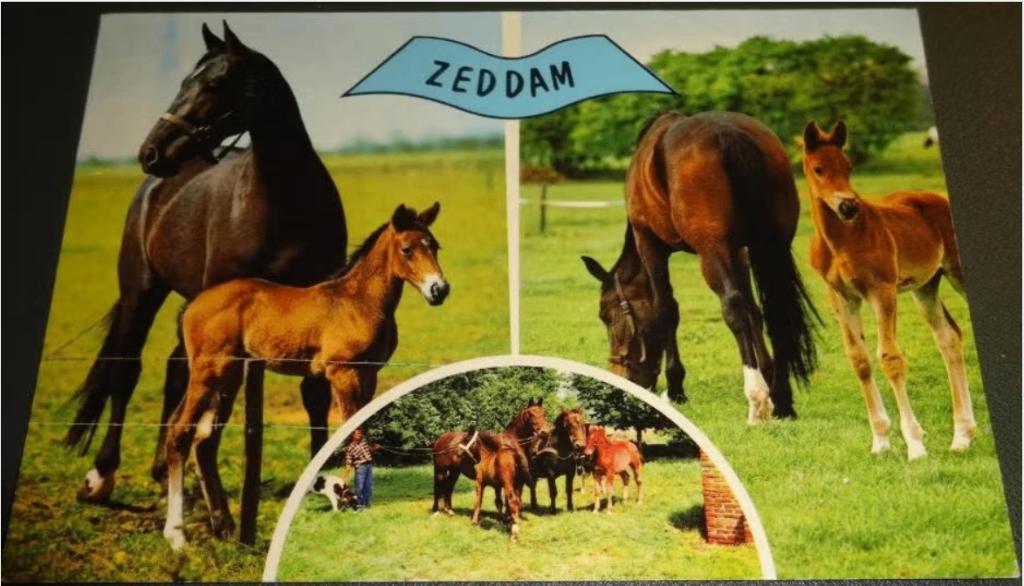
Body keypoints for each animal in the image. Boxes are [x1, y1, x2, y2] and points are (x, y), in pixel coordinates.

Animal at [63, 23, 348, 503]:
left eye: (214, 83)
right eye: (183, 81)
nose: (150, 152)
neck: (284, 203)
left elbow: (313, 391)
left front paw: (320, 473)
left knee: (177, 369)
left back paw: (164, 469)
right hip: (142, 293)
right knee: (127, 371)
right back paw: (102, 476)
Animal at [162, 203, 449, 549]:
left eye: (435, 246)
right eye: (407, 249)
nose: (439, 290)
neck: (357, 301)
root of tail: (192, 305)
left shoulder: (369, 375)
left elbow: (361, 429)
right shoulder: (343, 373)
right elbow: (350, 431)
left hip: (227, 378)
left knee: (202, 441)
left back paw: (226, 529)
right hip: (208, 373)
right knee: (180, 433)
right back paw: (177, 537)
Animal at [582, 111, 819, 422]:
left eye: (606, 316)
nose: (619, 376)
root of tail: (730, 133)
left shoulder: (649, 243)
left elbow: (666, 310)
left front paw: (675, 388)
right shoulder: (738, 251)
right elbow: (754, 311)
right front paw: (768, 376)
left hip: (711, 252)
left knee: (733, 309)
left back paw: (756, 398)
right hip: (771, 247)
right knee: (773, 313)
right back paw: (782, 400)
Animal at [802, 121, 976, 461]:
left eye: (849, 166)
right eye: (818, 169)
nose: (848, 206)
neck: (841, 241)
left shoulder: (881, 290)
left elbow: (889, 358)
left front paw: (915, 444)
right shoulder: (842, 297)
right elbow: (859, 359)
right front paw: (881, 440)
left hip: (957, 273)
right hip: (926, 288)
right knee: (949, 338)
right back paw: (962, 436)